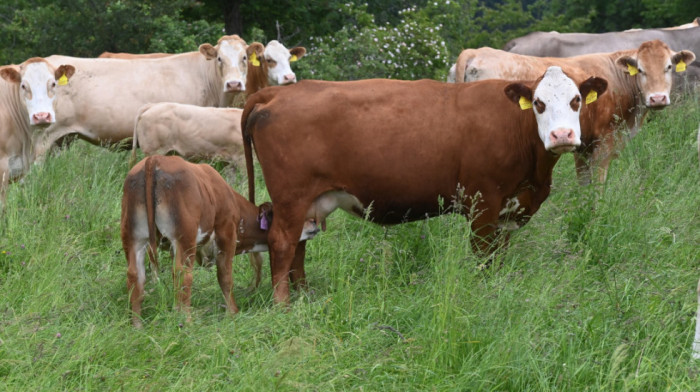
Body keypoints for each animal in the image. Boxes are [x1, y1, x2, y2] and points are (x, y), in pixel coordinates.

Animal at [120, 155, 318, 326]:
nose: (314, 221)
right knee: (183, 273)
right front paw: (233, 312)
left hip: (133, 238)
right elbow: (225, 276)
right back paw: (186, 320)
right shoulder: (227, 233)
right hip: (184, 239)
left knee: (135, 275)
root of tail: (155, 159)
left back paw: (137, 323)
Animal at [243, 67, 608, 304]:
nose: (562, 135)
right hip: (291, 198)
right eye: (538, 103)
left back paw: (304, 296)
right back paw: (283, 304)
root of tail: (277, 92)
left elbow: (499, 257)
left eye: (576, 100)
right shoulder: (483, 203)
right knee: (282, 243)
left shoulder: (509, 209)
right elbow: (482, 255)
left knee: (298, 246)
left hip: (308, 202)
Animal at [452, 42, 696, 183]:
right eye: (641, 70)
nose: (657, 98)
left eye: (668, 67)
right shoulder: (604, 142)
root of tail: (475, 51)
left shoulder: (583, 146)